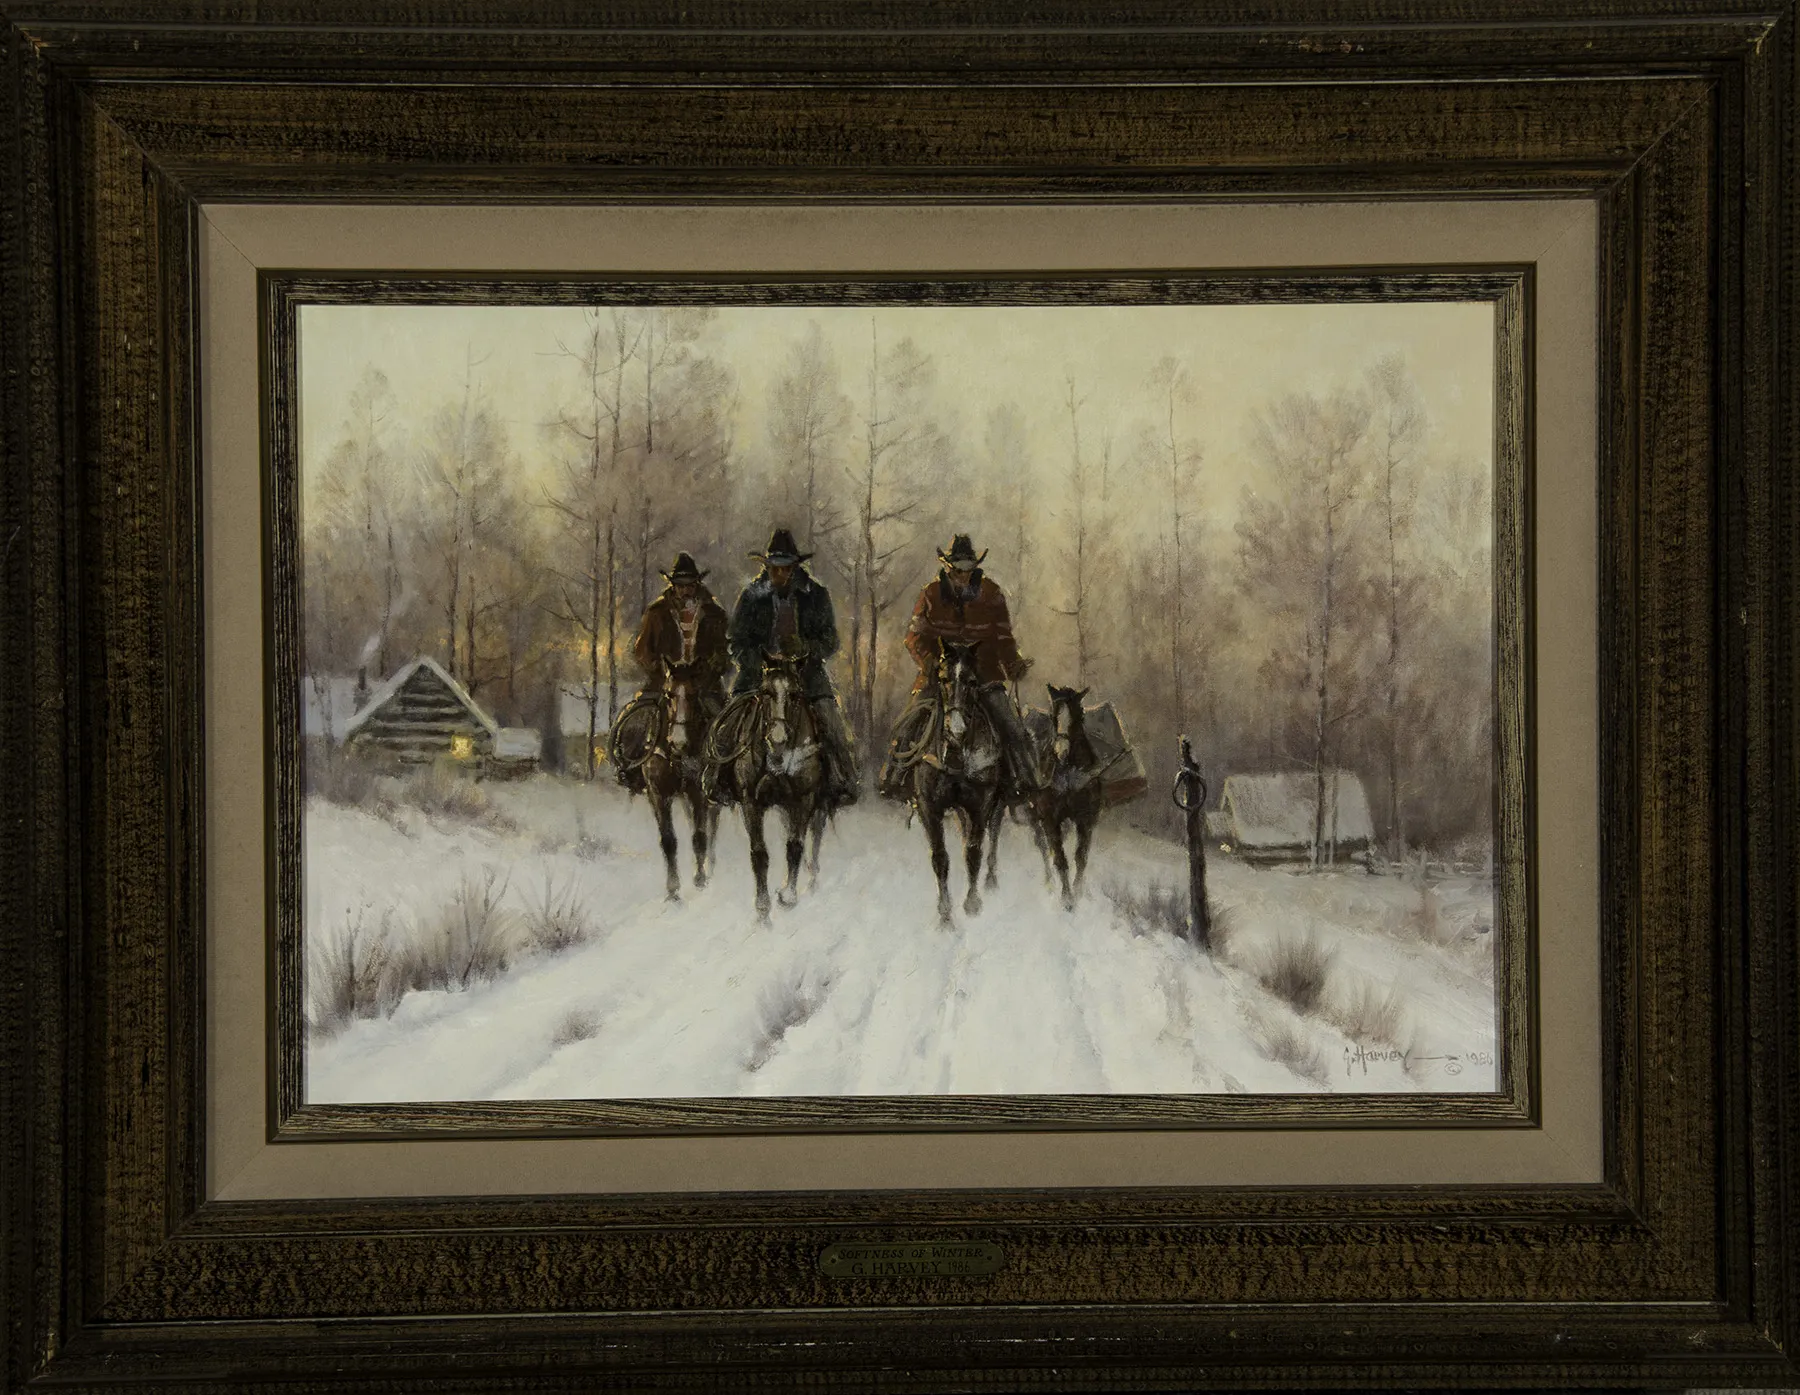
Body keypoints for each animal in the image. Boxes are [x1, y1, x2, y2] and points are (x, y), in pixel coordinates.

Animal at [636, 661, 721, 901]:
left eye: (693, 694)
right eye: (668, 693)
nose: (679, 741)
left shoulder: (699, 793)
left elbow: (700, 836)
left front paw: (700, 879)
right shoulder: (658, 795)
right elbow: (668, 840)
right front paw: (673, 889)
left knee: (711, 828)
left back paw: (709, 866)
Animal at [710, 650, 830, 922]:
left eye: (794, 694)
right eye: (765, 692)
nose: (777, 740)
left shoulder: (804, 799)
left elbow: (795, 846)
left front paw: (789, 896)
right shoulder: (750, 802)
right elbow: (759, 853)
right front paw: (763, 905)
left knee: (815, 840)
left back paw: (811, 879)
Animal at [903, 639, 1004, 925]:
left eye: (972, 681)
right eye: (943, 678)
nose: (956, 729)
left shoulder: (982, 804)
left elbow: (974, 850)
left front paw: (972, 902)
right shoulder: (929, 807)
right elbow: (940, 857)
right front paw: (945, 914)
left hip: (997, 805)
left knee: (993, 836)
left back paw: (991, 879)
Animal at [1030, 684, 1107, 911]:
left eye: (1078, 714)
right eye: (1053, 714)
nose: (1061, 752)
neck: (1069, 776)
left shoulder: (1086, 819)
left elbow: (1080, 857)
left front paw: (1078, 893)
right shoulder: (1050, 819)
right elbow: (1060, 859)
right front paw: (1067, 899)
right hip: (1035, 818)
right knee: (1044, 847)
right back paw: (1049, 883)